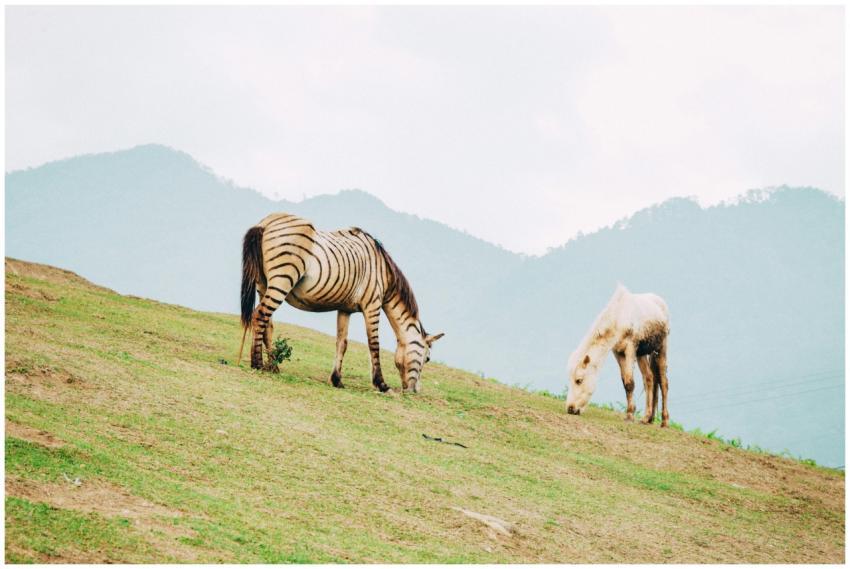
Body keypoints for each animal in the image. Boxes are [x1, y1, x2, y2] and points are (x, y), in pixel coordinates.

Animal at [239, 212, 444, 393]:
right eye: (427, 359)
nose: (415, 391)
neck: (384, 274)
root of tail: (265, 222)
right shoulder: (373, 305)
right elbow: (374, 344)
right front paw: (381, 384)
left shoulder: (345, 309)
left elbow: (342, 343)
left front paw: (336, 380)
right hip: (282, 278)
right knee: (261, 315)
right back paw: (257, 363)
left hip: (263, 283)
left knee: (267, 323)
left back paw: (272, 366)